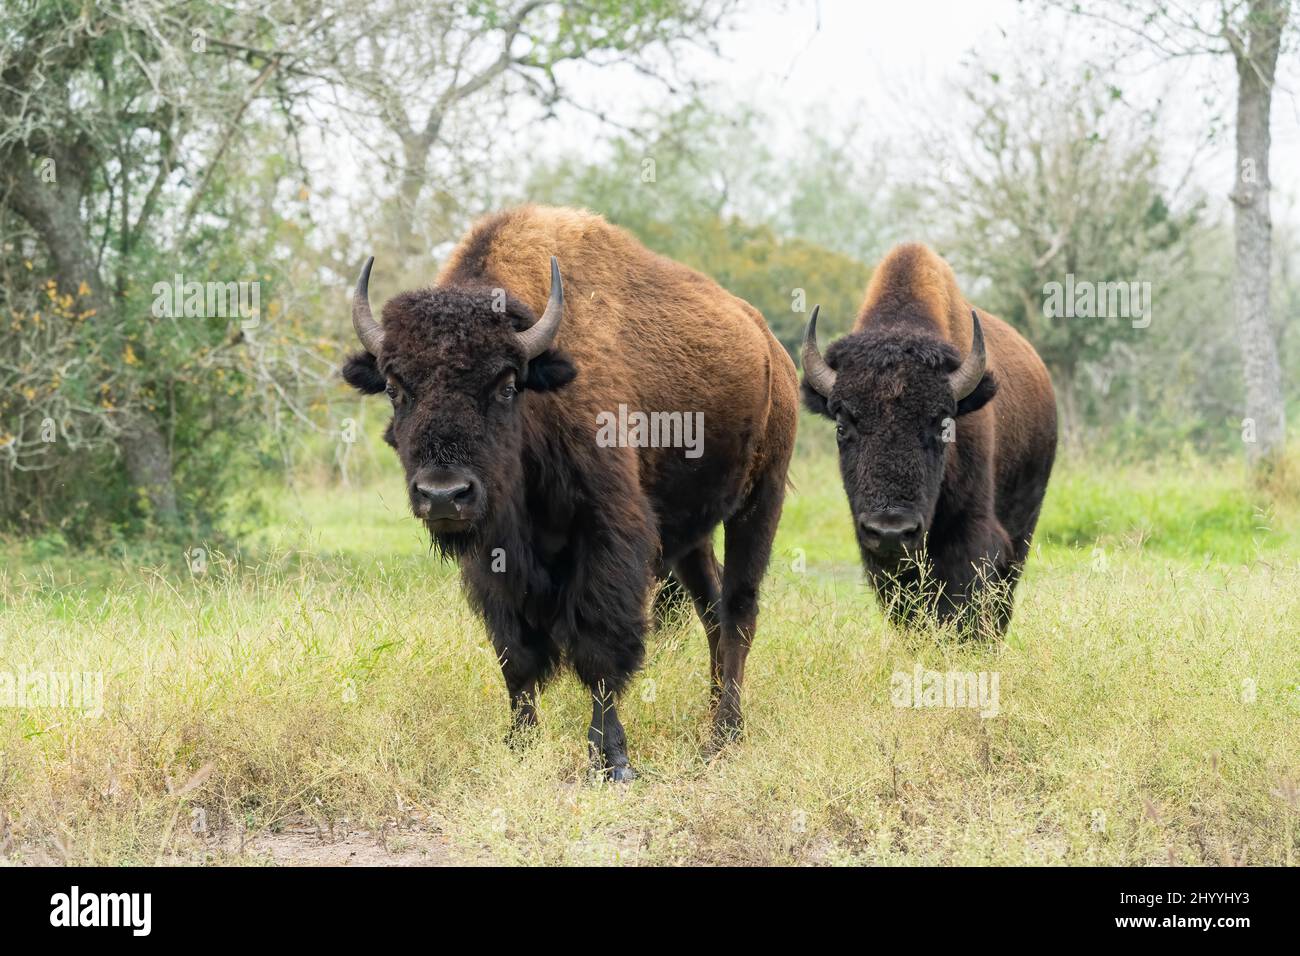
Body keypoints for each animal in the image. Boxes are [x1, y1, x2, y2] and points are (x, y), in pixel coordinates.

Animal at [343, 205, 798, 779]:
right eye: (395, 387)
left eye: (506, 385)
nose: (444, 495)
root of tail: (772, 348)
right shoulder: (494, 558)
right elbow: (515, 656)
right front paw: (519, 745)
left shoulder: (606, 535)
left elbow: (598, 648)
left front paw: (613, 760)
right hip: (691, 535)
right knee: (712, 608)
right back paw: (712, 716)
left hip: (763, 496)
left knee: (740, 610)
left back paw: (724, 736)